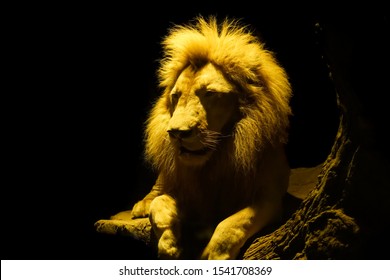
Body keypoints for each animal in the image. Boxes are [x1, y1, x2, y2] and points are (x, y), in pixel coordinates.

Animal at [132, 15, 292, 260]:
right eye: (176, 96)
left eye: (210, 94)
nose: (176, 133)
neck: (215, 160)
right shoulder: (190, 195)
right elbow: (159, 203)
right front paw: (169, 245)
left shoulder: (270, 200)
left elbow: (232, 223)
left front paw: (213, 255)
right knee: (154, 193)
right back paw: (140, 206)